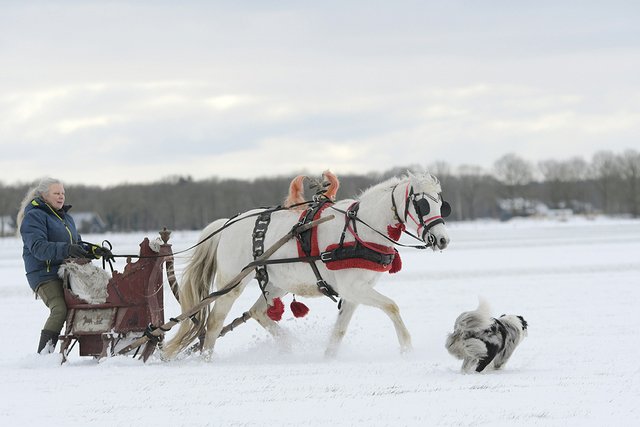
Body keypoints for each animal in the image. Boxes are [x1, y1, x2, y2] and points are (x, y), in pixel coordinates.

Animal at [165, 172, 452, 360]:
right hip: (232, 282)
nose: (443, 240)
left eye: (441, 204)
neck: (360, 229)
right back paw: (206, 360)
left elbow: (339, 331)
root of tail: (227, 223)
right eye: (422, 204)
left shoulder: (355, 292)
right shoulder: (353, 287)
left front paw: (328, 358)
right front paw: (407, 348)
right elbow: (392, 306)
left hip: (277, 283)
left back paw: (287, 347)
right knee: (214, 324)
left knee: (258, 312)